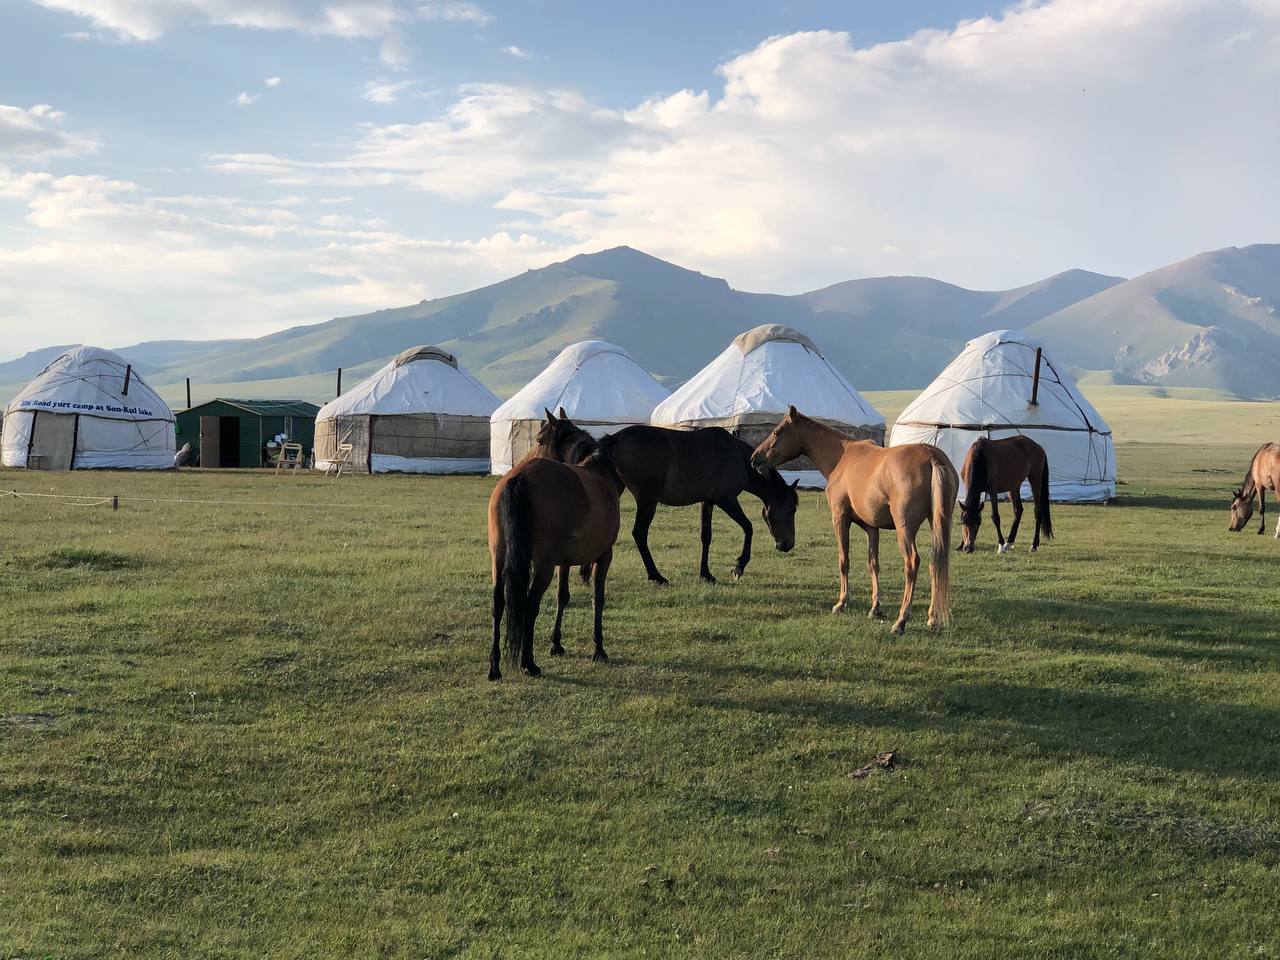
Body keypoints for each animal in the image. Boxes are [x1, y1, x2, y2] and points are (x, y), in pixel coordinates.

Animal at [487, 430, 624, 680]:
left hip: (499, 559)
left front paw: (556, 644)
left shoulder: (564, 562)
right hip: (543, 565)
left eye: (540, 439)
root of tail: (519, 477)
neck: (597, 471)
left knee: (498, 604)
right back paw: (528, 663)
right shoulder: (604, 556)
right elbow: (597, 599)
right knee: (530, 604)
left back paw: (494, 667)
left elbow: (563, 597)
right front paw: (599, 649)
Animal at [534, 408, 798, 584]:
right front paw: (739, 566)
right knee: (639, 534)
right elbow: (748, 528)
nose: (787, 545)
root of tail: (614, 439)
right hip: (647, 500)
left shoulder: (708, 502)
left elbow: (706, 536)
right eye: (791, 509)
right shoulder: (727, 500)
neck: (737, 458)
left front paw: (706, 573)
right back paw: (655, 575)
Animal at [750, 406, 957, 635]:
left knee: (912, 563)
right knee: (935, 563)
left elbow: (844, 561)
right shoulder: (871, 528)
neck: (841, 458)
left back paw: (901, 620)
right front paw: (875, 608)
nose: (755, 458)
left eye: (776, 431)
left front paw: (841, 603)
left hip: (905, 529)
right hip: (938, 524)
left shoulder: (840, 519)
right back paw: (932, 617)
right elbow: (873, 564)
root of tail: (931, 456)